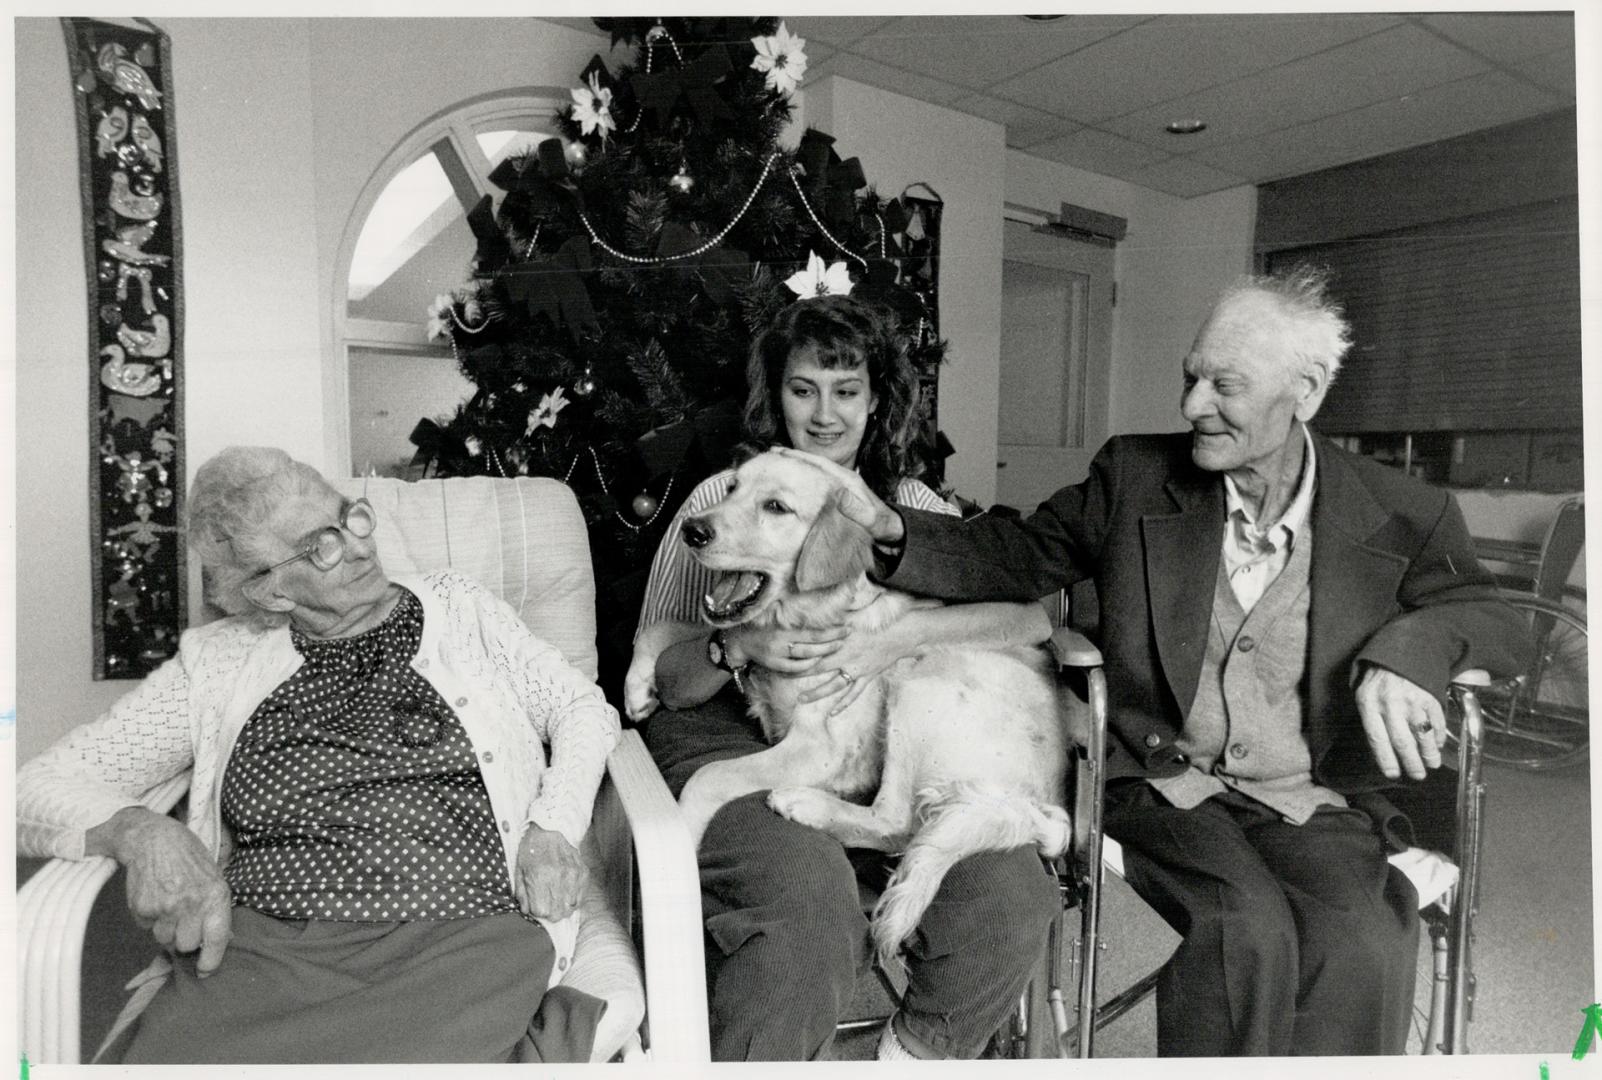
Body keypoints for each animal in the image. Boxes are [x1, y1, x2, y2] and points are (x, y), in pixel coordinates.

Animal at [631, 445, 1070, 961]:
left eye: (776, 507)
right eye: (733, 487)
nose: (692, 529)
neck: (810, 612)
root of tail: (1039, 805)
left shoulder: (821, 747)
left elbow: (709, 775)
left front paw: (676, 845)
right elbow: (663, 626)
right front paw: (637, 686)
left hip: (920, 676)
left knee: (897, 821)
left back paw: (805, 804)